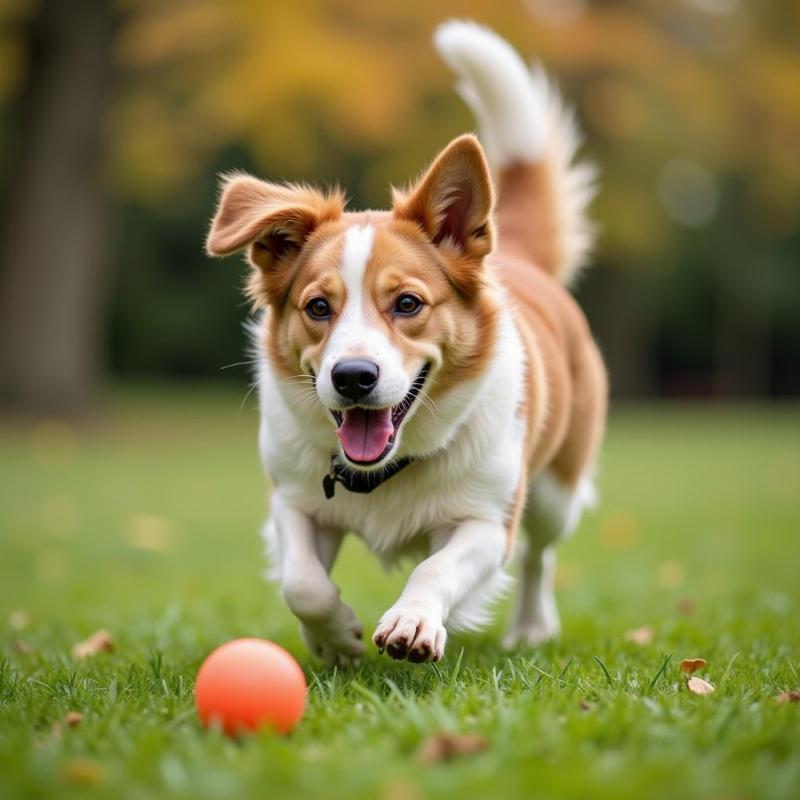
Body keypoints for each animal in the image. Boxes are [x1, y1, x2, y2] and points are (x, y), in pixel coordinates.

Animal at [205, 21, 608, 664]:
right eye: (318, 307)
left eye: (408, 304)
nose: (353, 377)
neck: (384, 471)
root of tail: (520, 259)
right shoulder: (292, 500)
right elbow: (302, 583)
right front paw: (333, 638)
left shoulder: (487, 521)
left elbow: (437, 568)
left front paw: (413, 620)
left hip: (554, 494)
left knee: (539, 556)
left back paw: (530, 627)